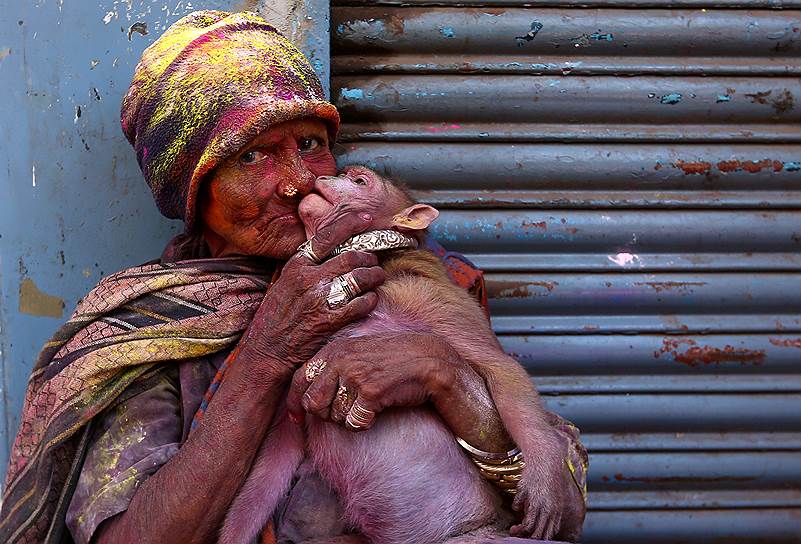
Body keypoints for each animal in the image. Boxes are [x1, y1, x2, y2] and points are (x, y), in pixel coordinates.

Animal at [219, 165, 580, 544]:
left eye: (359, 181)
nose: (325, 178)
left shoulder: (423, 292)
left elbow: (499, 367)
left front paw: (544, 472)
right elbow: (279, 450)